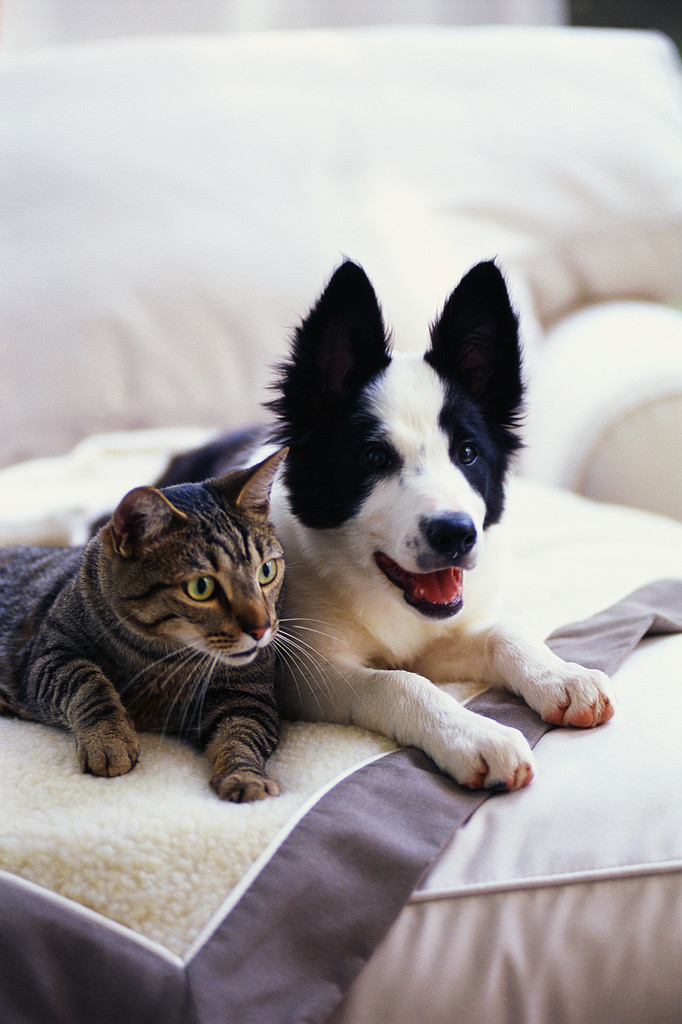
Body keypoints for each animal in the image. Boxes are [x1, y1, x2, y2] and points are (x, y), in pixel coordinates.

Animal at [0, 448, 284, 798]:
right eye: (201, 587)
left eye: (267, 571)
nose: (261, 628)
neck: (162, 655)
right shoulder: (48, 654)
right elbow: (89, 682)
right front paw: (109, 742)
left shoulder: (248, 698)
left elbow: (242, 737)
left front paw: (246, 777)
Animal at [157, 260, 610, 786]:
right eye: (374, 458)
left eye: (468, 453)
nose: (457, 534)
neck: (380, 593)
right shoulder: (304, 674)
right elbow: (398, 683)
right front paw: (476, 736)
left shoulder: (436, 637)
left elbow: (503, 633)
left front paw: (562, 677)